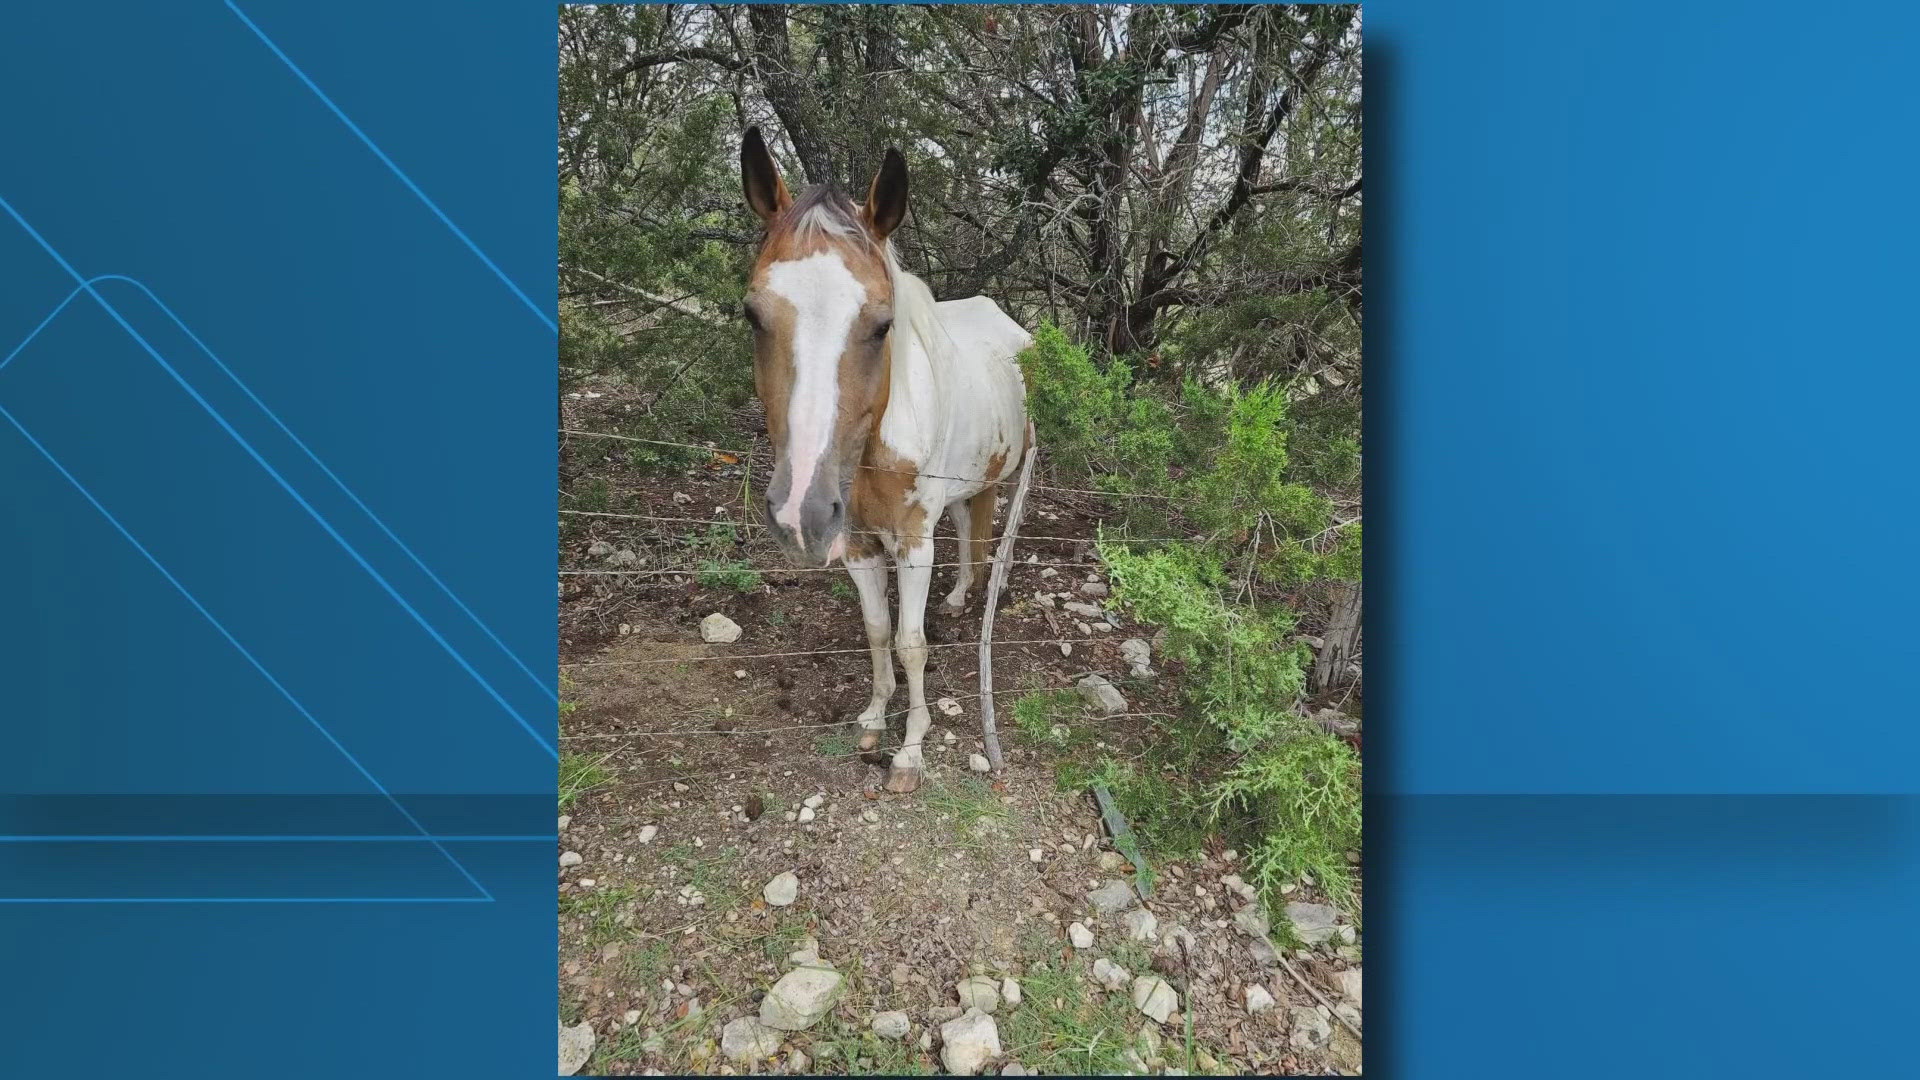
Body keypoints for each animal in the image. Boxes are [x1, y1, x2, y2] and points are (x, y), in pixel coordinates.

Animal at [737, 130, 1036, 795]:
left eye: (881, 325)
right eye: (752, 315)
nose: (800, 512)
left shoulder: (913, 544)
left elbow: (910, 642)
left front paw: (911, 750)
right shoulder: (859, 544)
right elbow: (877, 632)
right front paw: (876, 717)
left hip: (1008, 476)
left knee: (993, 538)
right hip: (963, 487)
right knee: (968, 528)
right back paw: (961, 595)